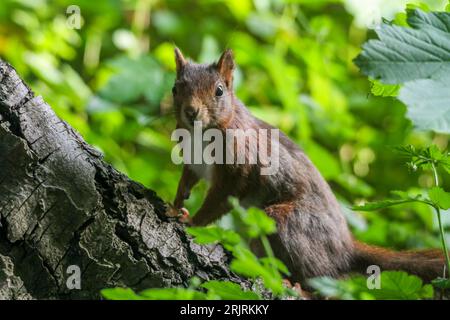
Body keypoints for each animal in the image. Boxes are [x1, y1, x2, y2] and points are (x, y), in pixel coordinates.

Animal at [166, 47, 446, 282]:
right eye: (175, 88)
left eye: (219, 91)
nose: (191, 112)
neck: (201, 134)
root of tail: (345, 247)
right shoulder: (192, 159)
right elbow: (186, 179)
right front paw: (176, 204)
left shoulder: (239, 165)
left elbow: (221, 199)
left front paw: (193, 221)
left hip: (287, 225)